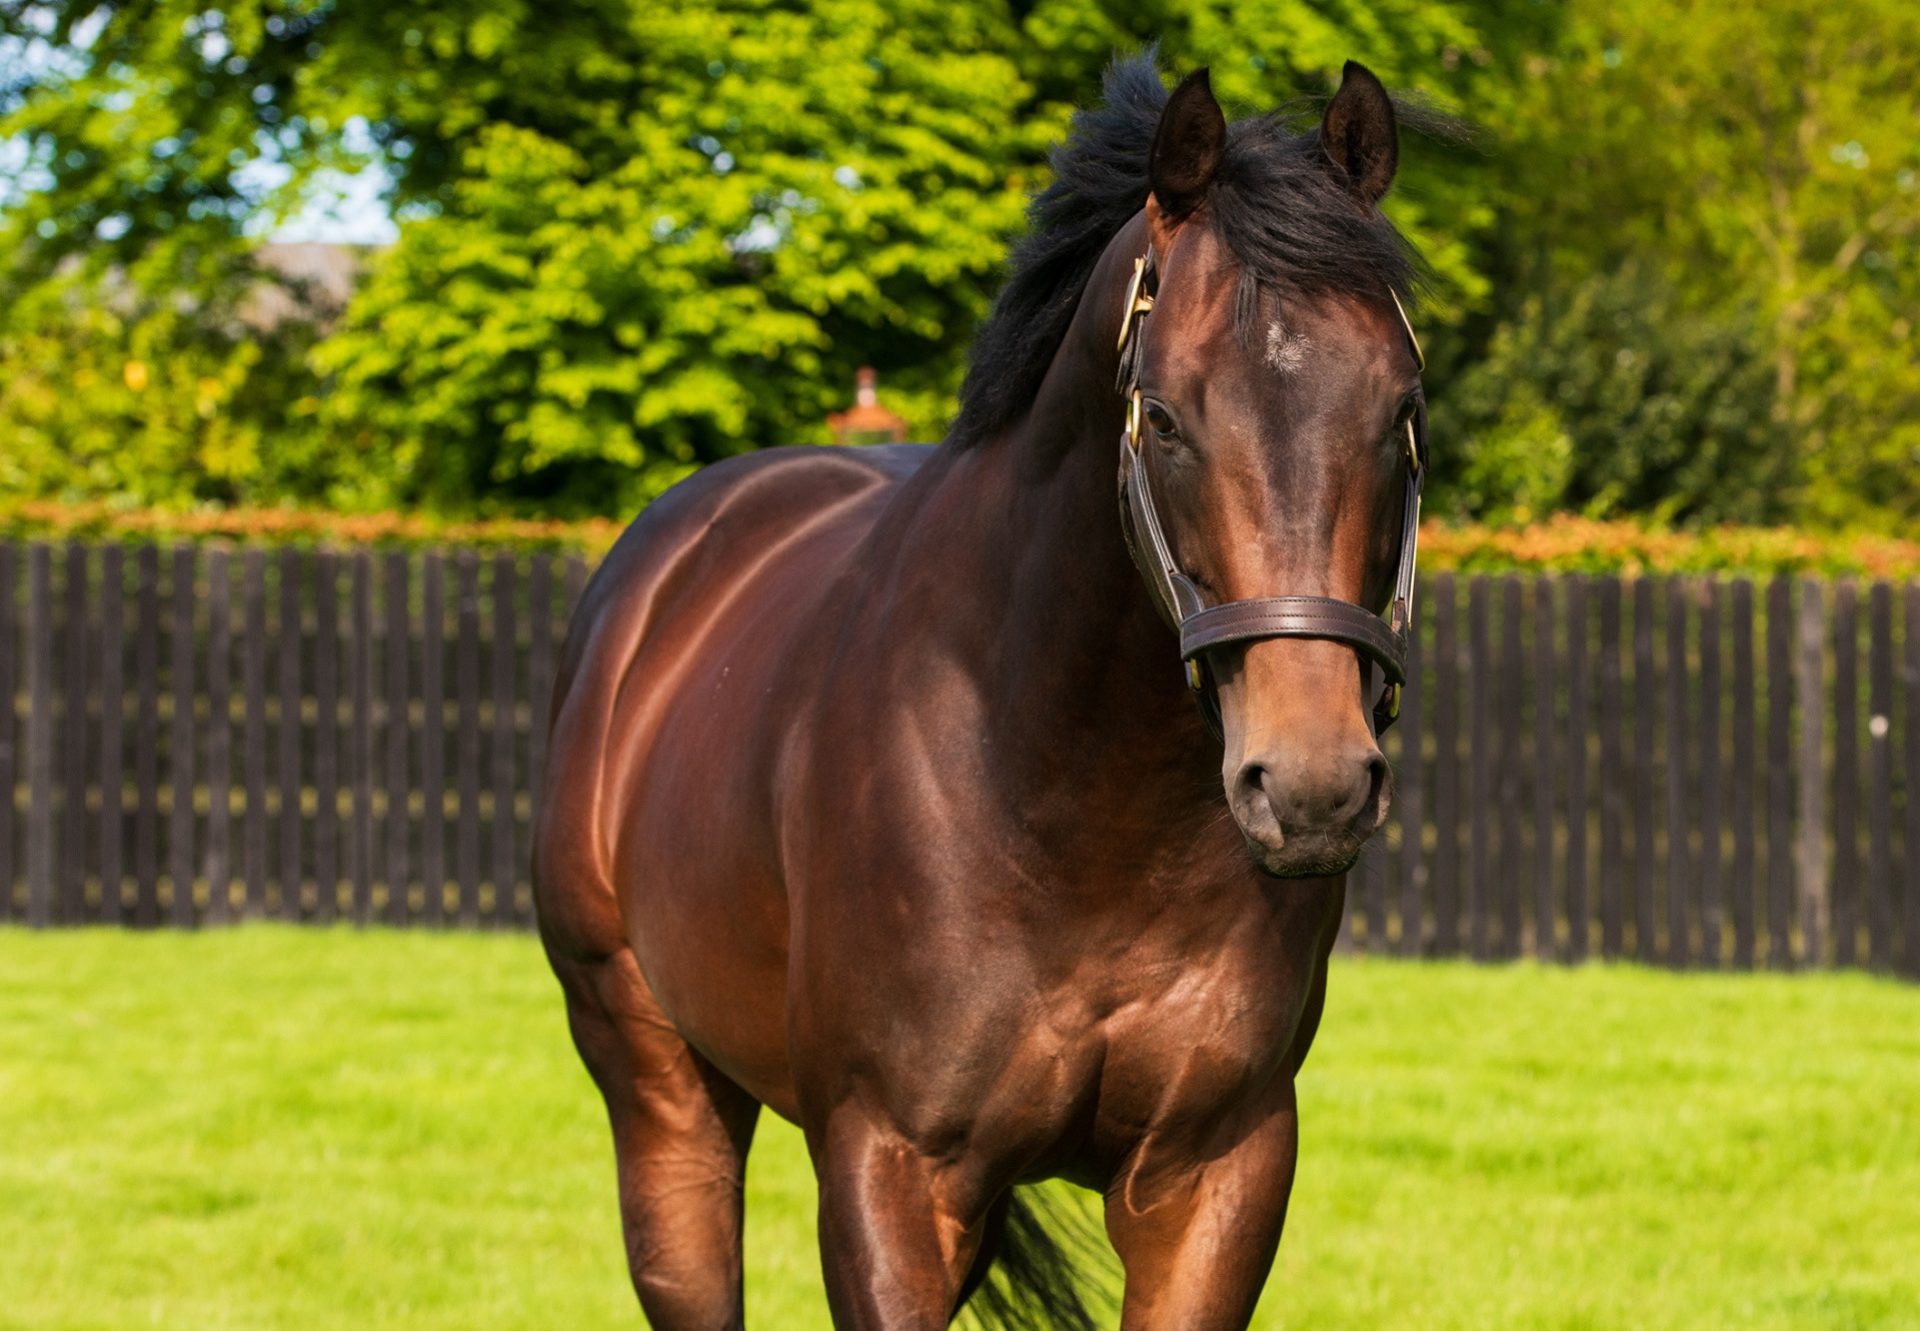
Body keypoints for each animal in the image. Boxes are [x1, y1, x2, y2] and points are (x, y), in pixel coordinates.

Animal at [537, 54, 1428, 1329]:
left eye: (1401, 411)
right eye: (1164, 417)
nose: (1310, 785)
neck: (1061, 790)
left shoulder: (1219, 1166)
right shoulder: (890, 1172)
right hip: (655, 1081)